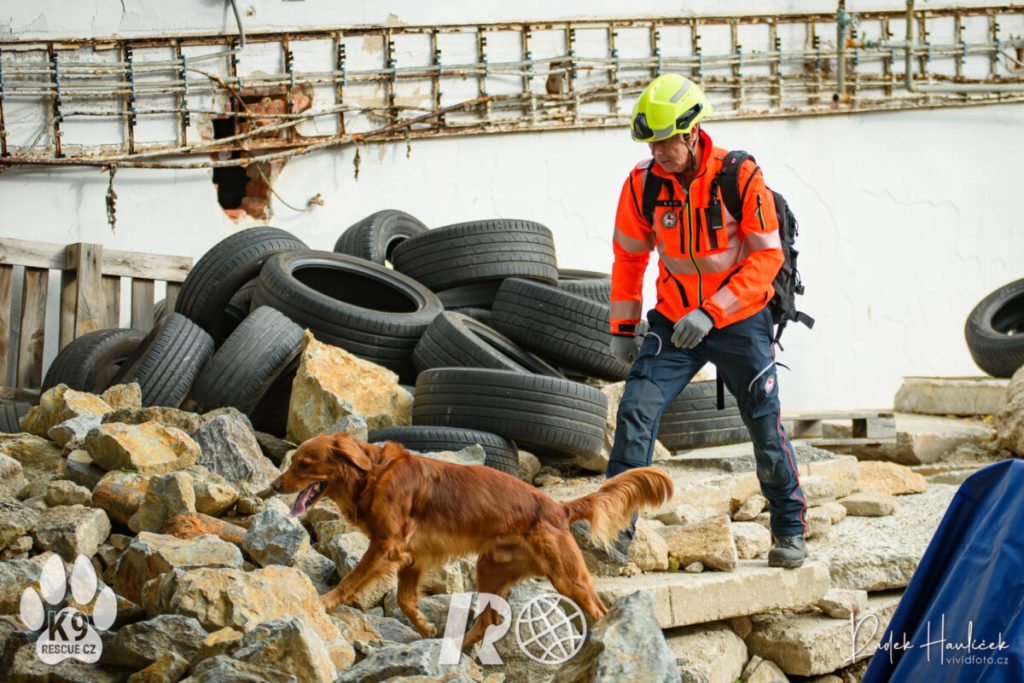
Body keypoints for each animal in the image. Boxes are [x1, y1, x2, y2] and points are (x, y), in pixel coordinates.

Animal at [270, 432, 673, 648]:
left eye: (304, 463)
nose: (272, 485)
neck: (372, 475)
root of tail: (558, 507)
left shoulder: (387, 545)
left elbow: (351, 581)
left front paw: (323, 603)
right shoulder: (412, 556)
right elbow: (405, 600)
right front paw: (426, 628)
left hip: (567, 576)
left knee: (599, 611)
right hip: (489, 568)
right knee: (488, 620)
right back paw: (456, 648)